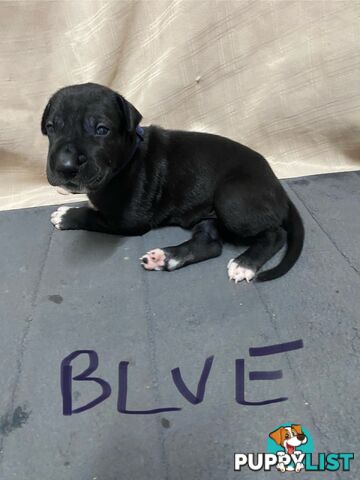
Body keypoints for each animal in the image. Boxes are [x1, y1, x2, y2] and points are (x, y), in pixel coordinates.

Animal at [43, 83, 306, 282]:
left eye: (101, 130)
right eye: (51, 127)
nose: (64, 165)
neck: (128, 156)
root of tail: (277, 186)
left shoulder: (128, 221)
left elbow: (94, 216)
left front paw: (66, 215)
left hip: (232, 199)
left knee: (275, 233)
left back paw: (245, 263)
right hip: (209, 216)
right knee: (209, 243)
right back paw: (164, 258)